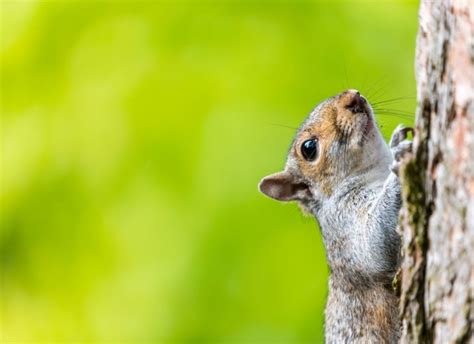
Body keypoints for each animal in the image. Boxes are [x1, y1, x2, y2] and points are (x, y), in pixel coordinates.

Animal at [260, 90, 412, 342]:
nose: (353, 96)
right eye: (308, 148)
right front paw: (401, 159)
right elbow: (374, 246)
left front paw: (396, 140)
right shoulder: (344, 223)